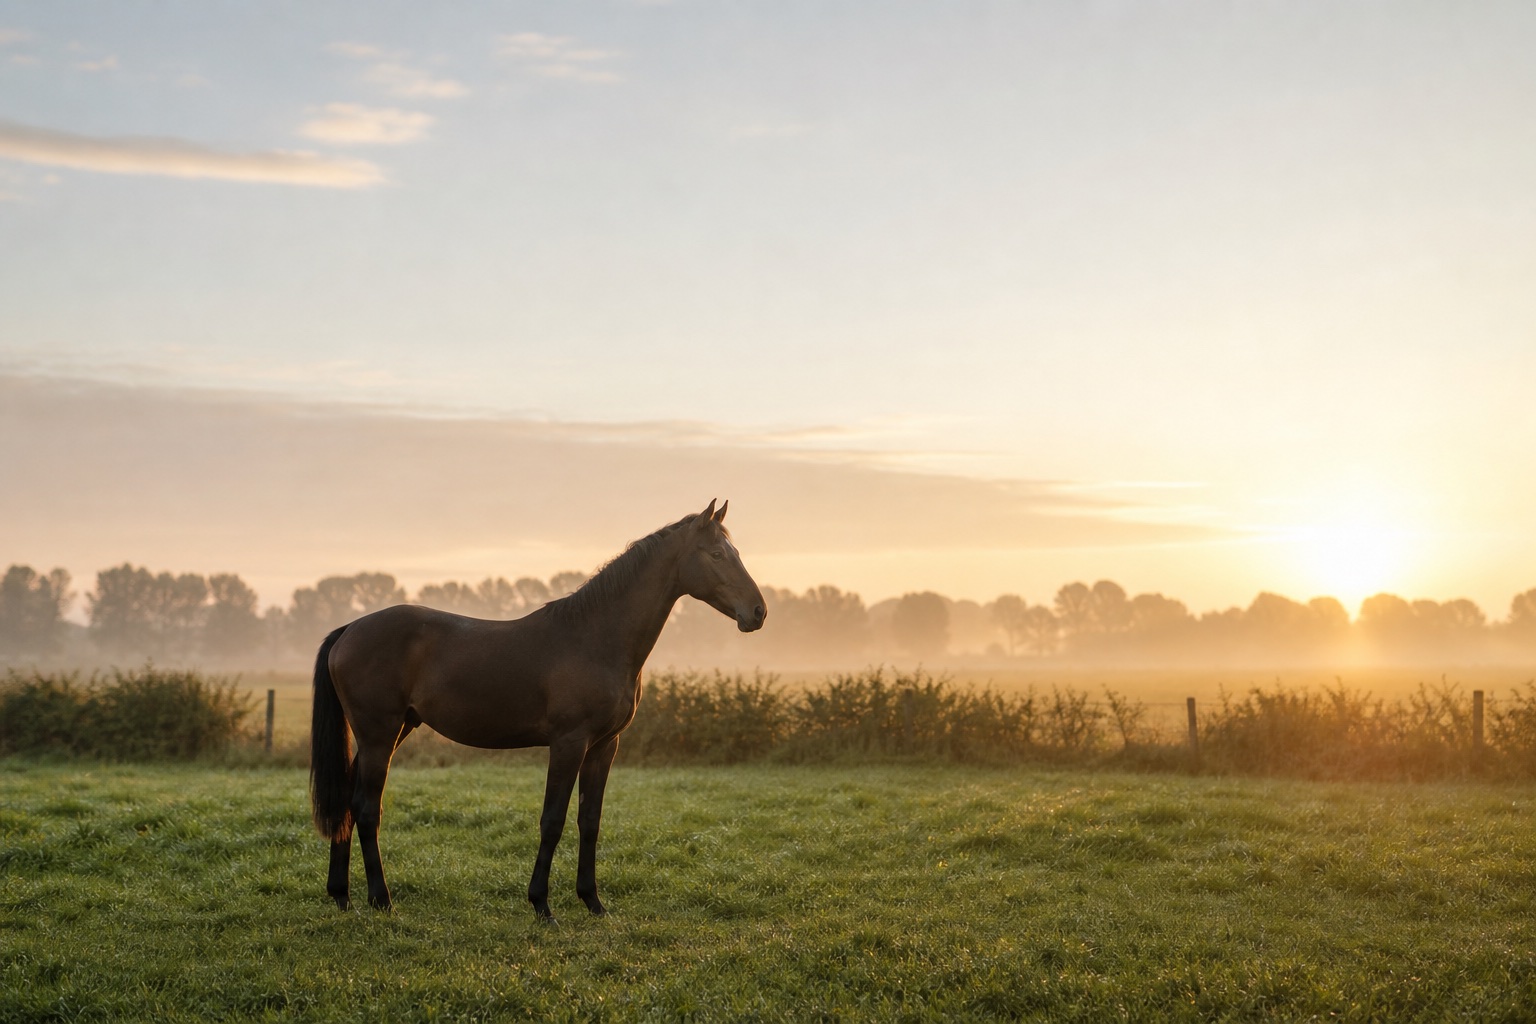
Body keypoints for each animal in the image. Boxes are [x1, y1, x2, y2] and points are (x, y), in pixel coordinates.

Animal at [309, 499, 765, 920]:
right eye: (717, 553)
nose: (758, 611)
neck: (594, 638)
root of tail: (348, 630)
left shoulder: (604, 747)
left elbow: (590, 821)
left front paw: (593, 902)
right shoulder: (568, 744)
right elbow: (553, 820)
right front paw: (542, 905)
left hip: (396, 730)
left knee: (348, 802)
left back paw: (342, 896)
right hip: (379, 735)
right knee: (366, 809)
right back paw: (381, 900)